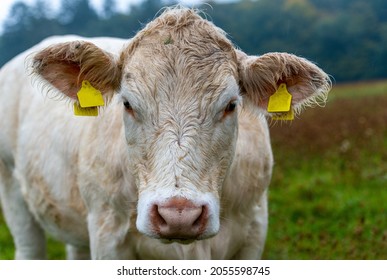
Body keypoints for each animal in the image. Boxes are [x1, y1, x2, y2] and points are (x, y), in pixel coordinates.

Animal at [0, 7, 330, 260]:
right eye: (128, 103)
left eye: (231, 104)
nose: (178, 215)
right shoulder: (107, 234)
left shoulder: (254, 231)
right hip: (14, 194)